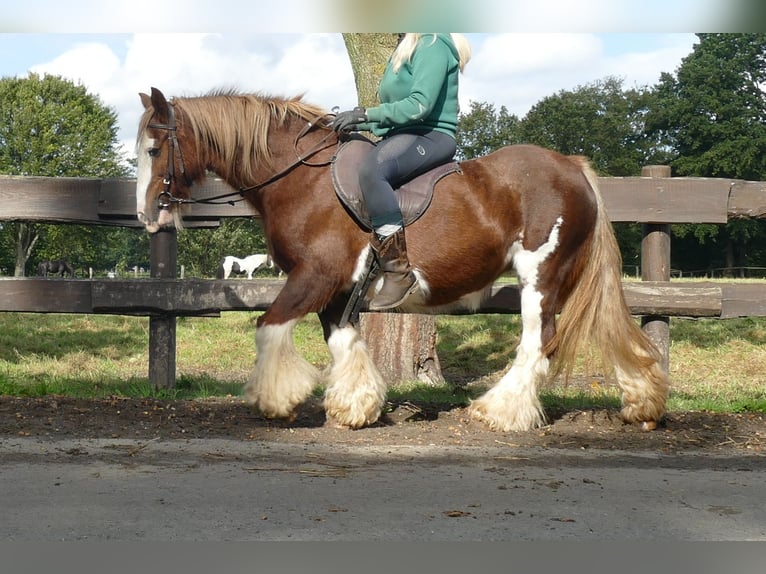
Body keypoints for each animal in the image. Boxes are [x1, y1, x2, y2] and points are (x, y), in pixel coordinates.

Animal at [135, 86, 668, 432]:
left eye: (155, 148)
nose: (146, 215)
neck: (302, 180)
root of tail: (572, 167)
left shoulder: (314, 277)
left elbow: (268, 326)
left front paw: (276, 399)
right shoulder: (338, 290)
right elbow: (345, 343)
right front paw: (356, 407)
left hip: (542, 275)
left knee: (540, 341)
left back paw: (500, 411)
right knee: (606, 329)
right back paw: (641, 403)